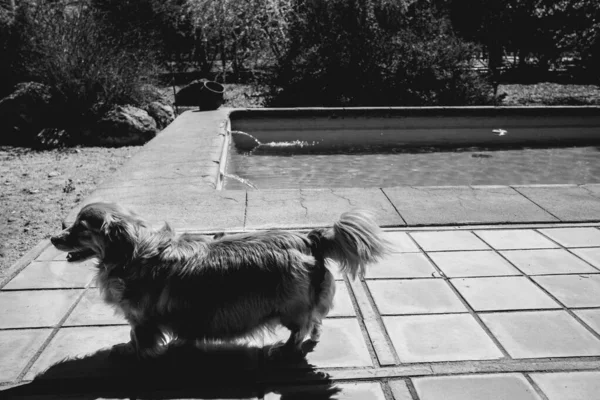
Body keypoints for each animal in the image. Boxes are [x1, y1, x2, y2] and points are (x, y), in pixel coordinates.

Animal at [51, 203, 390, 360]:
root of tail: (307, 239)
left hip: (289, 308)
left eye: (81, 228)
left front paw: (130, 351)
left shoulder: (141, 318)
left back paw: (284, 349)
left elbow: (138, 337)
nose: (53, 238)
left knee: (302, 326)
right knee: (316, 320)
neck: (132, 251)